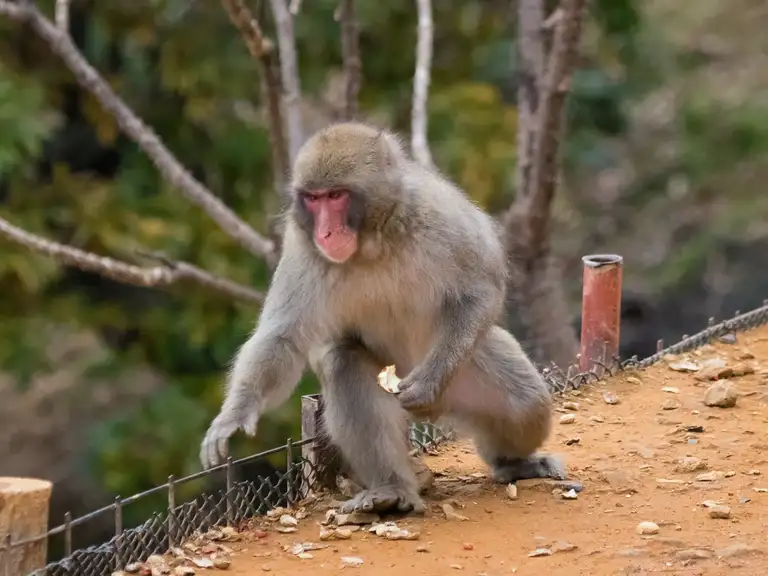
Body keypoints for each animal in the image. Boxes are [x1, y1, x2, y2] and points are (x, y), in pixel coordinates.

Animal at [199, 122, 566, 515]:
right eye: (313, 198)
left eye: (336, 195)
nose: (325, 232)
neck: (373, 240)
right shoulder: (302, 245)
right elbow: (282, 337)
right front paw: (235, 413)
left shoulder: (438, 214)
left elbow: (481, 287)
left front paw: (430, 382)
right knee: (343, 362)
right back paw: (390, 490)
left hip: (466, 368)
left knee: (527, 403)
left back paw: (514, 464)